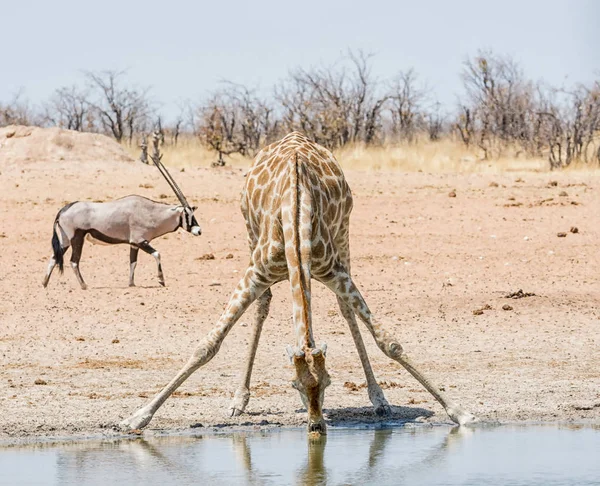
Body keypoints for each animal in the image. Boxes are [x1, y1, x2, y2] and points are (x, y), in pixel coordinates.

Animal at [42, 153, 202, 288]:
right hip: (77, 239)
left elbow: (133, 262)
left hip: (65, 240)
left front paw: (131, 284)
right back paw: (84, 285)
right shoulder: (140, 241)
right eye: (188, 215)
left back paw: (44, 284)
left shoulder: (134, 244)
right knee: (74, 262)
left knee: (54, 257)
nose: (199, 231)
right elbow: (157, 254)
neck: (150, 212)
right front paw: (161, 280)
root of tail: (63, 210)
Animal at [123, 130, 478, 432]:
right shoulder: (255, 273)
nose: (316, 426)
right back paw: (239, 400)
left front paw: (460, 412)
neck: (295, 218)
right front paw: (137, 417)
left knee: (345, 310)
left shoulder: (335, 271)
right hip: (250, 237)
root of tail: (294, 135)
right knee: (263, 304)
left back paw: (378, 398)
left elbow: (388, 341)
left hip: (344, 235)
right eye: (294, 384)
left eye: (328, 382)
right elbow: (206, 346)